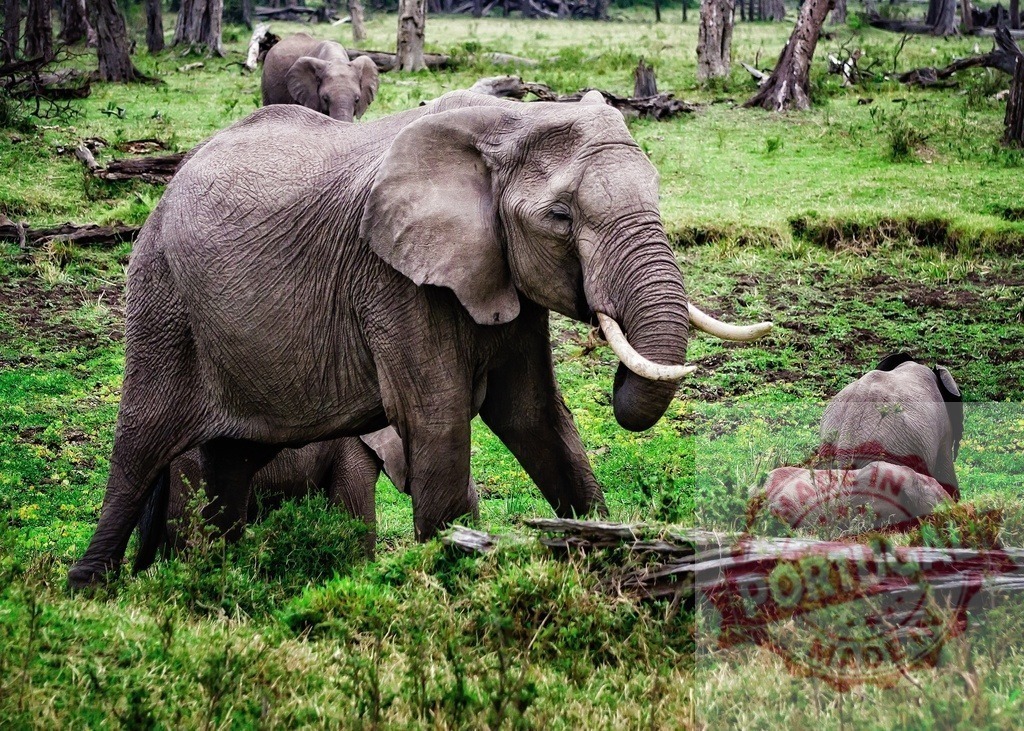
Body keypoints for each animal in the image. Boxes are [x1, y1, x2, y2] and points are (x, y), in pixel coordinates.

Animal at [68, 90, 772, 587]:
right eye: (561, 218)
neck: (508, 124)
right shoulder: (393, 280)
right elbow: (438, 417)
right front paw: (456, 570)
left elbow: (535, 416)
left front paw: (601, 544)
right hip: (162, 300)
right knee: (139, 447)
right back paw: (90, 591)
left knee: (229, 464)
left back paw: (217, 579)